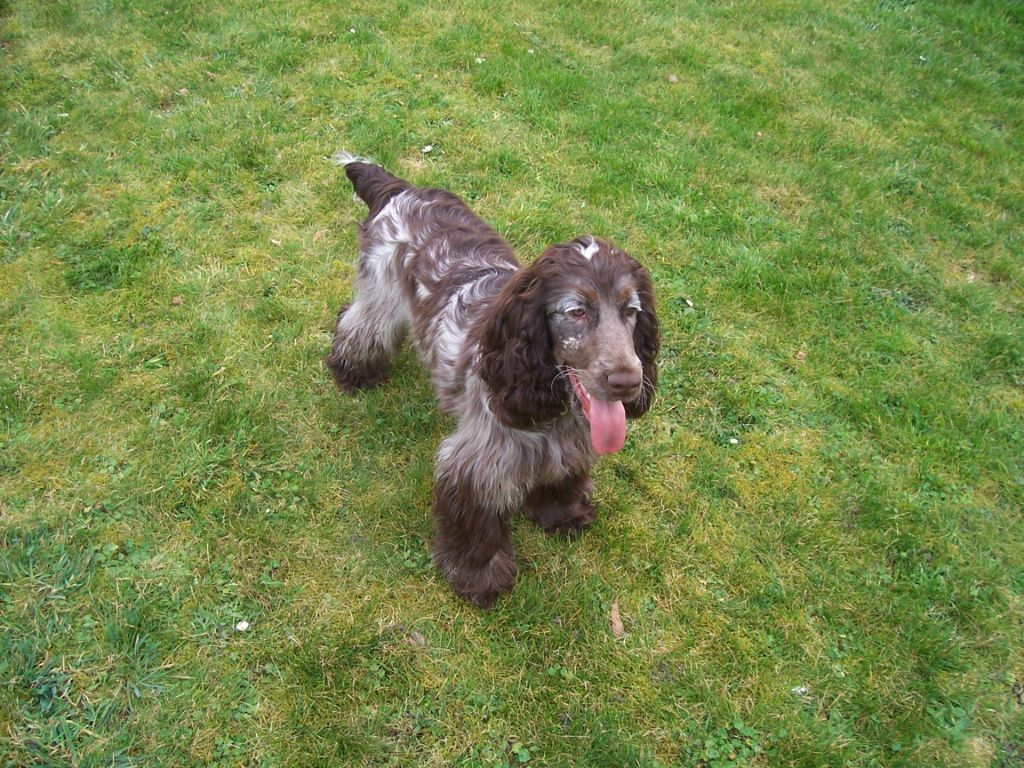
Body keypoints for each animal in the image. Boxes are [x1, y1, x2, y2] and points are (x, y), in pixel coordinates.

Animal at [331, 153, 659, 610]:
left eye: (632, 311)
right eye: (576, 311)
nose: (628, 382)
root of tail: (400, 189)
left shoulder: (570, 448)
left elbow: (563, 480)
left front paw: (564, 515)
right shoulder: (477, 464)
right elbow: (477, 527)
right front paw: (480, 579)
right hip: (381, 295)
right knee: (357, 324)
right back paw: (352, 372)